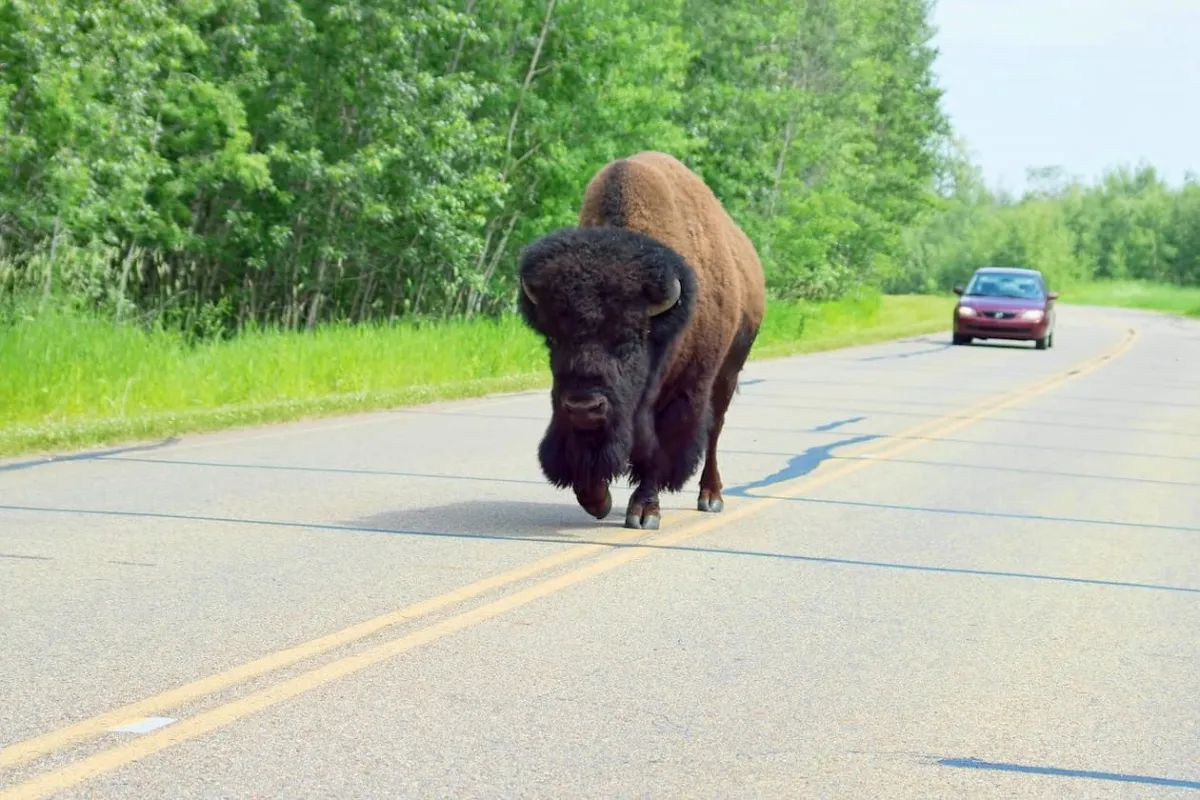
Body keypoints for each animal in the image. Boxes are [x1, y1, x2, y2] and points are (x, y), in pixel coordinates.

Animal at [516, 152, 768, 527]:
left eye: (627, 342)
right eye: (553, 340)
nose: (584, 405)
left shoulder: (682, 392)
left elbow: (656, 449)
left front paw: (644, 512)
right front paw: (597, 500)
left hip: (729, 372)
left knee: (714, 431)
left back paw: (711, 496)